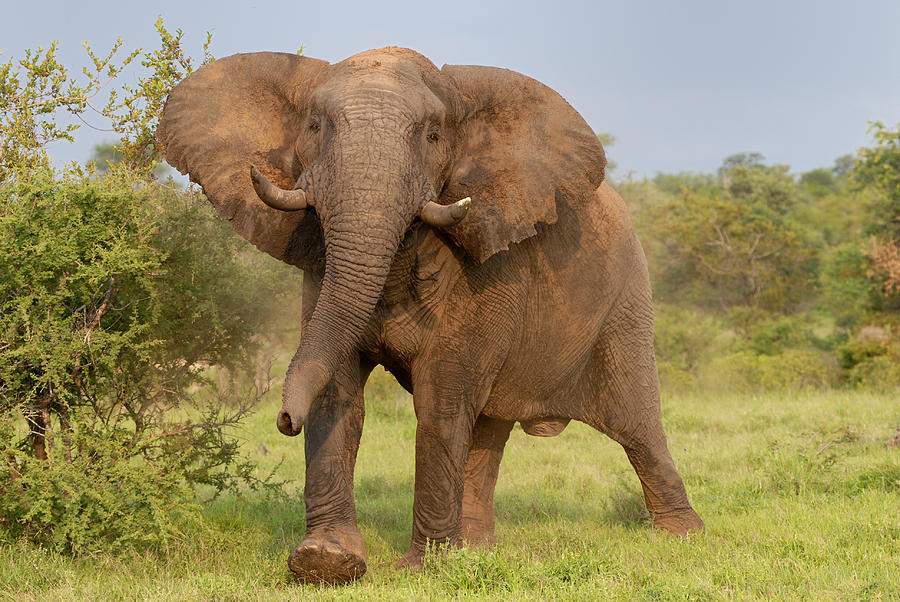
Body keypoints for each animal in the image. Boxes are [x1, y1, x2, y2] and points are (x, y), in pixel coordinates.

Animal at [158, 46, 703, 583]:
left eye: (434, 136)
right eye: (314, 127)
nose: (285, 419)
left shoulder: (488, 271)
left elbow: (441, 398)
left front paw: (427, 569)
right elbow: (339, 391)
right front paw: (325, 562)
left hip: (625, 303)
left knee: (636, 423)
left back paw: (683, 537)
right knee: (488, 429)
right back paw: (479, 550)